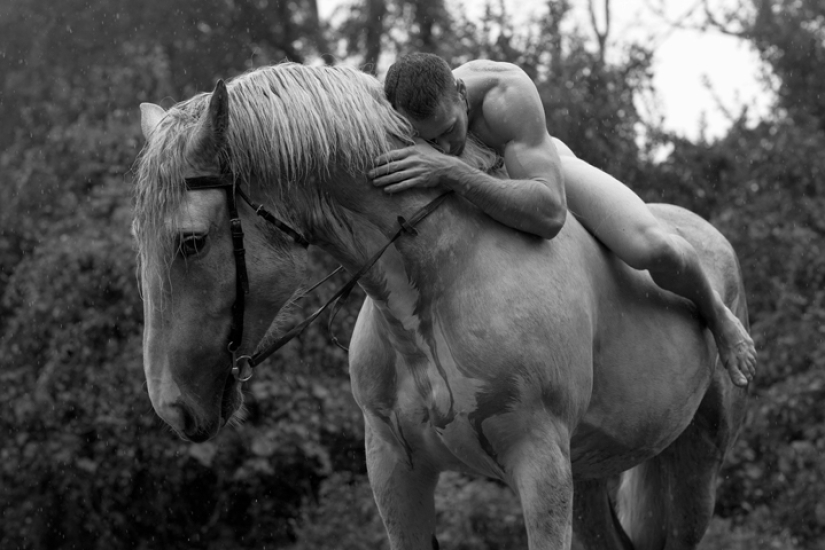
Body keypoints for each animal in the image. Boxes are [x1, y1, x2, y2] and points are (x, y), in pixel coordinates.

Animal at [133, 63, 749, 550]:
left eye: (191, 241)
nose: (172, 408)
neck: (443, 273)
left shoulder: (542, 465)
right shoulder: (394, 470)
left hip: (691, 471)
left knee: (659, 252)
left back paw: (735, 340)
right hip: (595, 474)